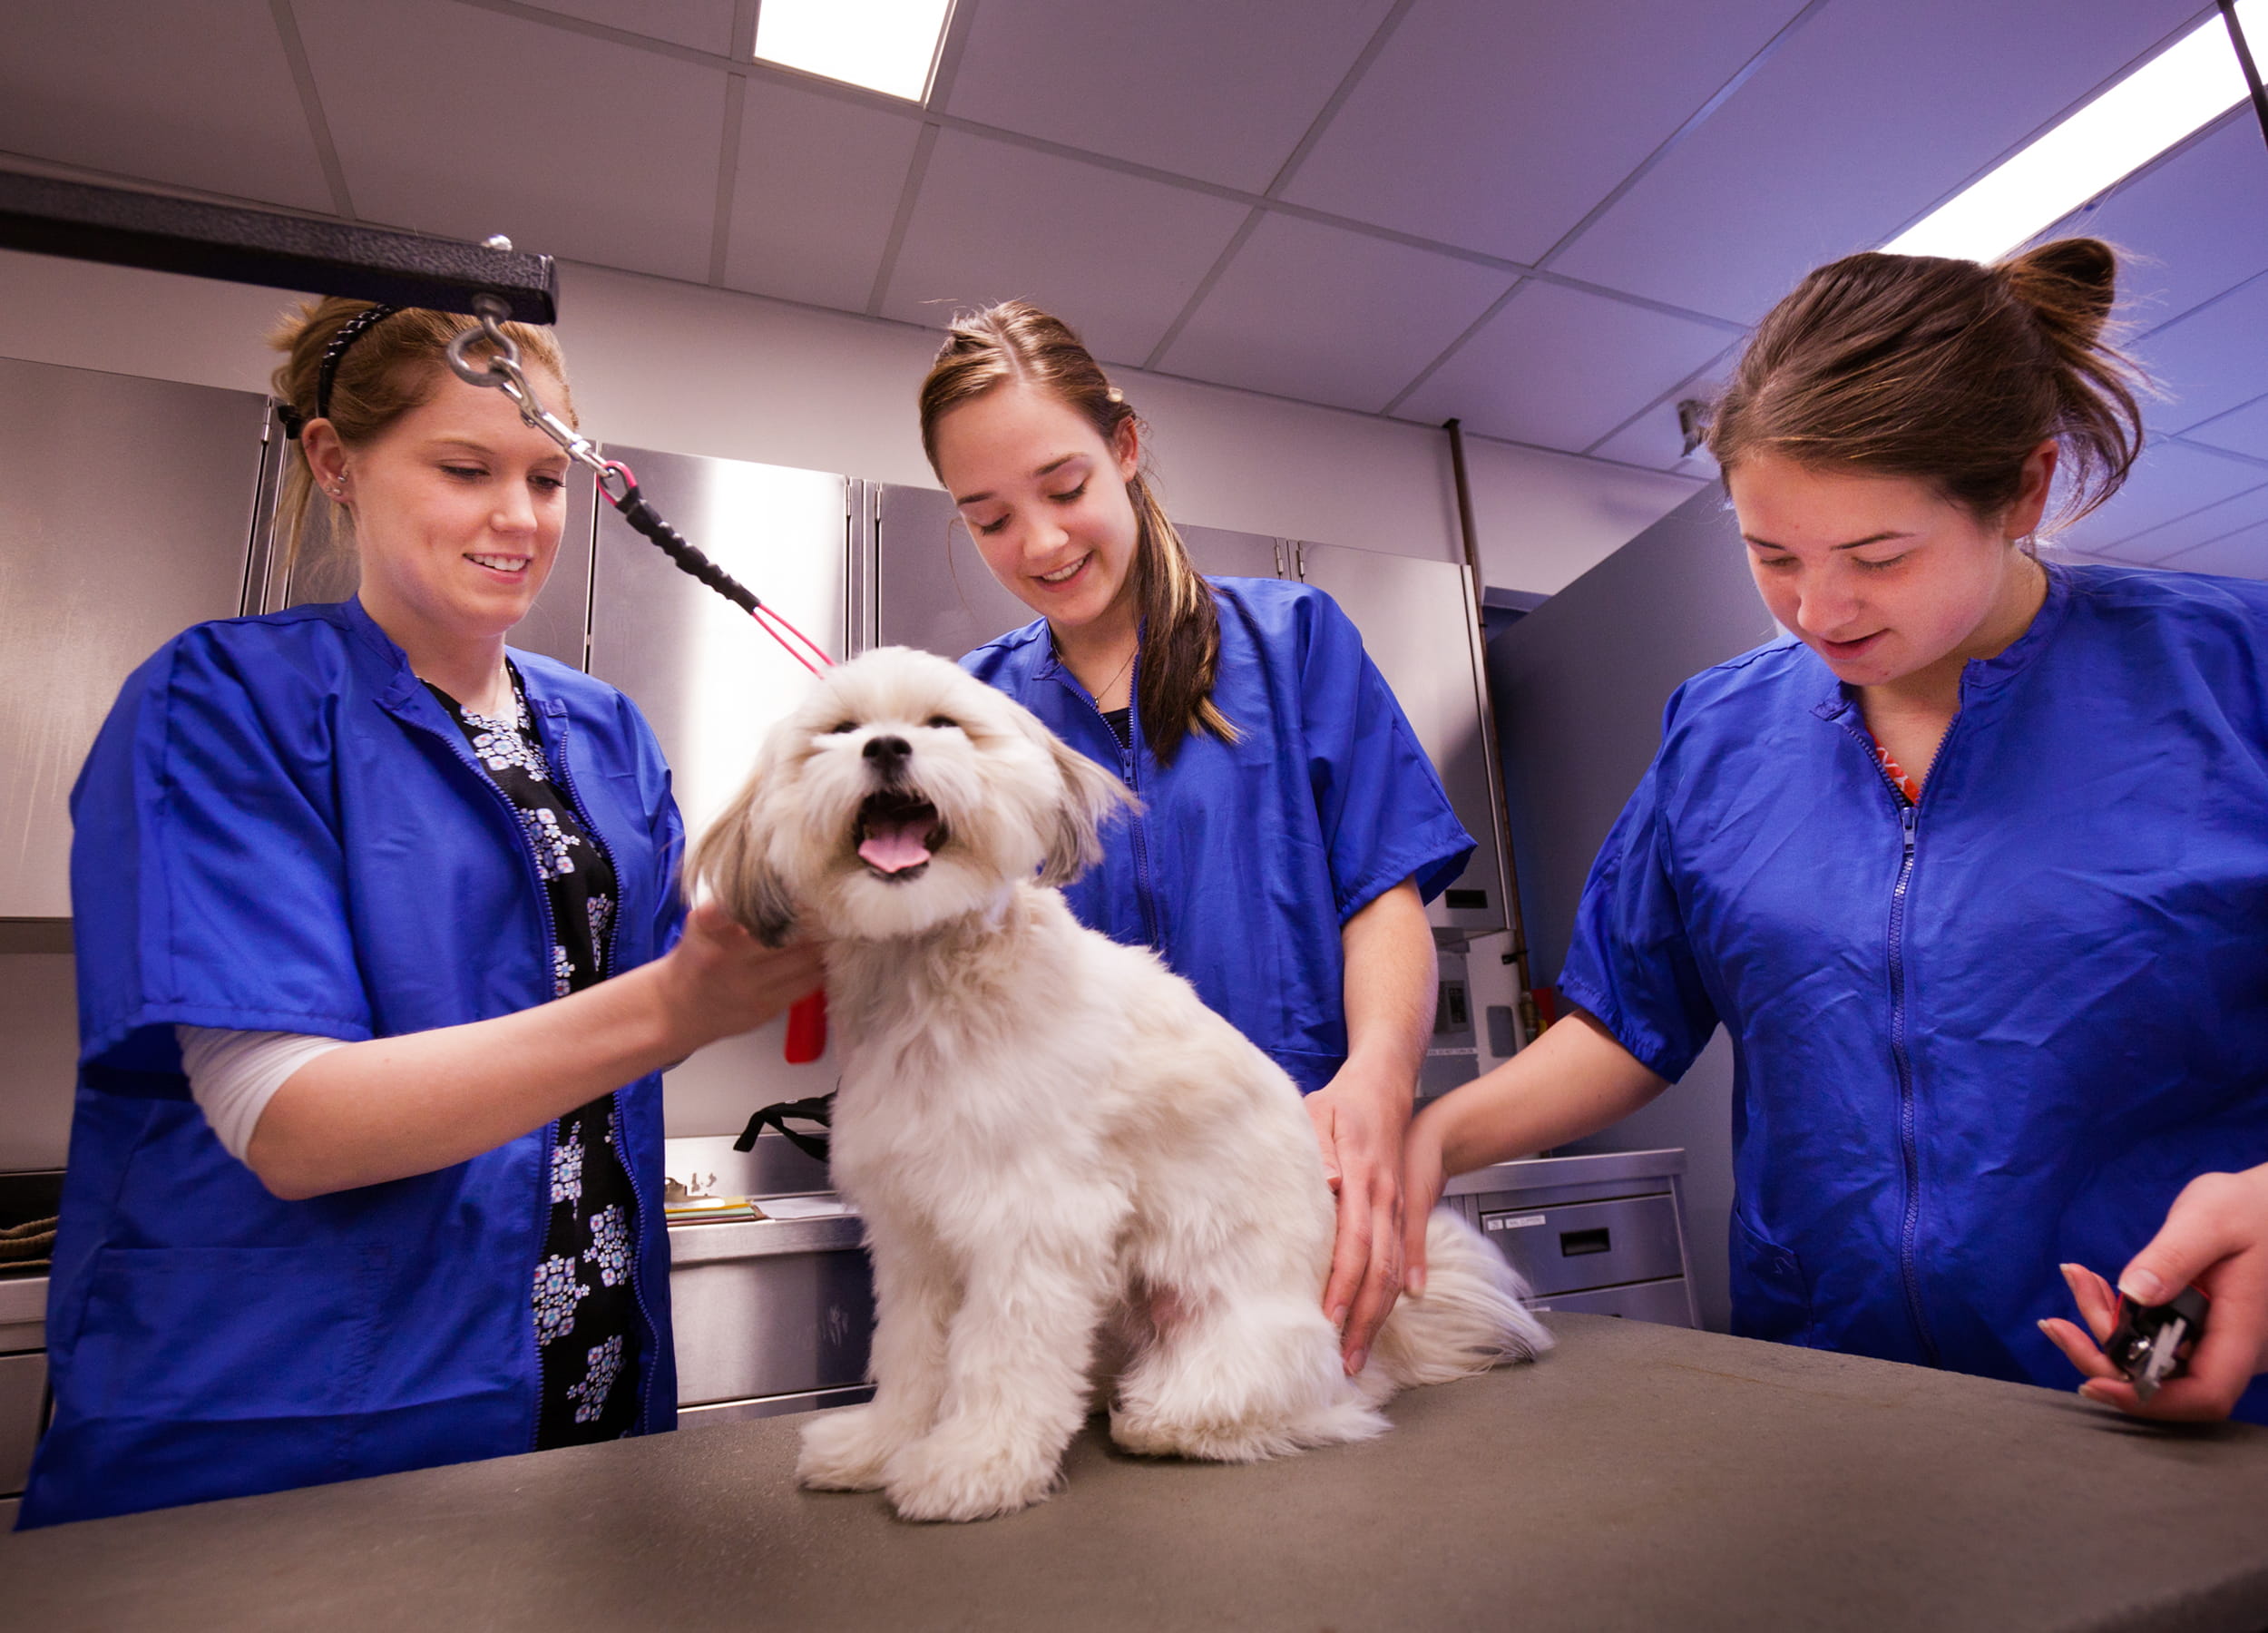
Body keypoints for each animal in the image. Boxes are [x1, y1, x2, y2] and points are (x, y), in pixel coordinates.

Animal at [689, 644, 1542, 1524]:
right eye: (840, 731)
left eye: (942, 724)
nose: (886, 748)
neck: (929, 978)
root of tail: (1376, 1346)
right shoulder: (913, 1236)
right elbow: (912, 1353)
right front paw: (880, 1444)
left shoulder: (1032, 1222)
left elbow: (1000, 1355)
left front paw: (974, 1463)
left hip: (1245, 1343)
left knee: (1291, 1404)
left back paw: (1171, 1420)